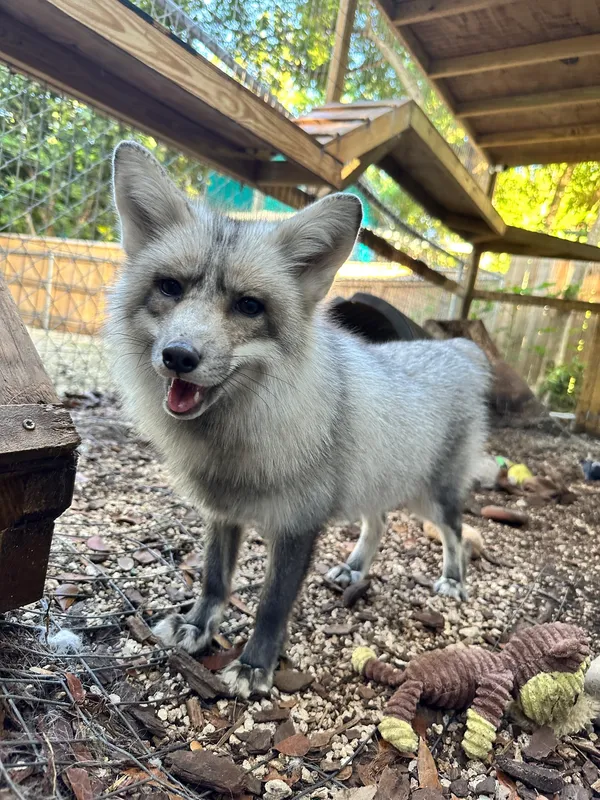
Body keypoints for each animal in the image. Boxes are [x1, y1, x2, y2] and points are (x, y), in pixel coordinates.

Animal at [107, 141, 491, 698]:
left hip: (432, 498)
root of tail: (455, 349)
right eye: (170, 287)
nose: (178, 357)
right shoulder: (223, 510)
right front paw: (198, 627)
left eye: (249, 306)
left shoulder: (298, 522)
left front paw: (254, 666)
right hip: (374, 486)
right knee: (378, 524)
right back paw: (354, 571)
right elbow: (214, 579)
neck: (236, 441)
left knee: (456, 533)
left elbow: (271, 604)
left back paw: (455, 580)